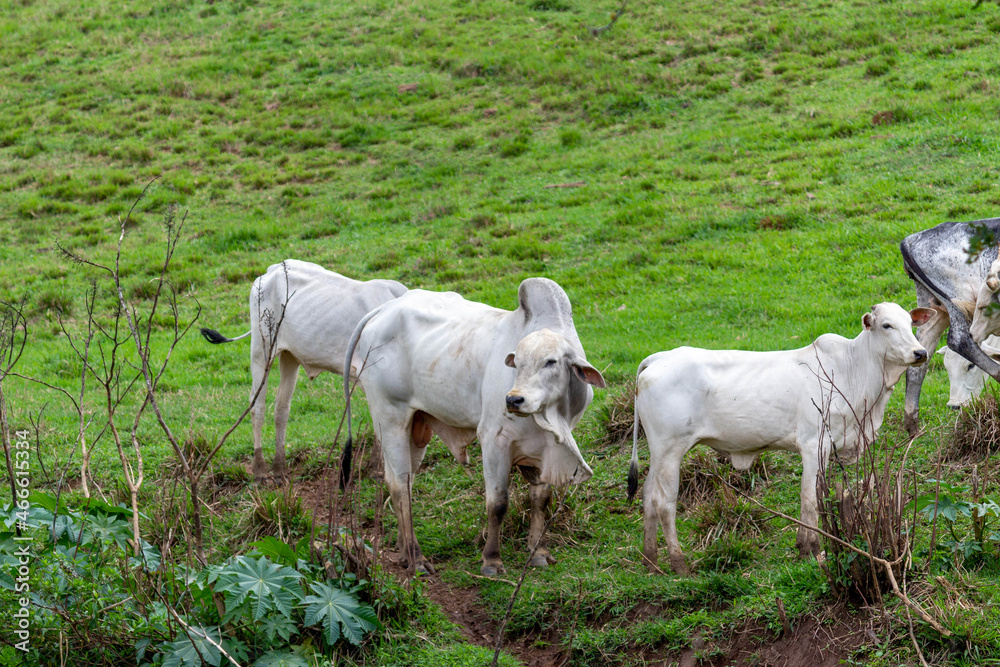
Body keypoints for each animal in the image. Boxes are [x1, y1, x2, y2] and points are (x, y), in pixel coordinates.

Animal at [197, 260, 404, 486]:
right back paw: (260, 470)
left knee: (281, 407)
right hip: (261, 350)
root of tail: (272, 269)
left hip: (290, 356)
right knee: (257, 404)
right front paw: (377, 470)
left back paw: (279, 469)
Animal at [344, 280, 604, 576]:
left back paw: (403, 552)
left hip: (416, 429)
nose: (513, 400)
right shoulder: (493, 440)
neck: (550, 415)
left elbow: (541, 499)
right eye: (516, 362)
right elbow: (497, 503)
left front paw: (538, 552)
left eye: (551, 361)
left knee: (403, 483)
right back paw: (417, 558)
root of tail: (385, 308)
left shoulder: (545, 449)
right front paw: (491, 561)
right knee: (399, 485)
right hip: (390, 419)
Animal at [904, 219, 1000, 436]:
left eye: (970, 367)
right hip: (959, 298)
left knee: (919, 358)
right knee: (960, 340)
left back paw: (912, 429)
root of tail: (910, 239)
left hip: (933, 309)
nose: (955, 406)